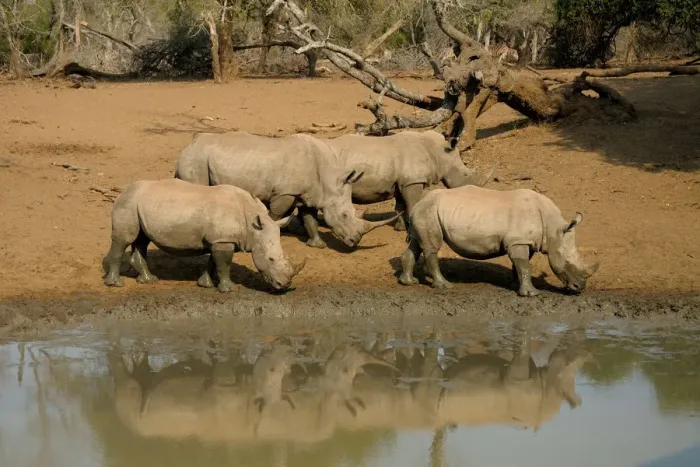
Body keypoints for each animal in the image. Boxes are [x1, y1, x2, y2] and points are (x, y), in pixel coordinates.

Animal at [102, 178, 306, 293]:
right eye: (271, 259)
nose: (285, 286)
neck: (252, 226)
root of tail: (123, 190)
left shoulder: (218, 240)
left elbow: (213, 262)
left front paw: (205, 284)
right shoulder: (223, 240)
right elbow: (224, 264)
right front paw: (228, 289)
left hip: (139, 205)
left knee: (141, 240)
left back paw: (148, 280)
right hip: (127, 203)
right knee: (124, 240)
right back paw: (116, 284)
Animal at [174, 131, 398, 249]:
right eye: (344, 215)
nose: (354, 242)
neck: (328, 179)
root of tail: (187, 147)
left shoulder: (309, 193)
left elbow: (309, 218)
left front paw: (317, 245)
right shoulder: (285, 192)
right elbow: (276, 214)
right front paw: (271, 234)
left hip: (199, 157)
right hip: (196, 159)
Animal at [321, 129, 494, 232]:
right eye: (465, 175)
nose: (475, 193)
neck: (438, 153)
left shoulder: (402, 182)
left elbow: (400, 205)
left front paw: (400, 228)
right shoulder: (414, 181)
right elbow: (412, 204)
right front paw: (411, 230)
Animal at [398, 185, 600, 296]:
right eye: (567, 261)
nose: (580, 287)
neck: (553, 229)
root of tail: (418, 203)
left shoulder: (523, 241)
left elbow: (520, 264)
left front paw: (515, 285)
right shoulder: (518, 241)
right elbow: (523, 264)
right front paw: (532, 294)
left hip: (425, 212)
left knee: (416, 244)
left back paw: (408, 282)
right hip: (429, 211)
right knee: (431, 247)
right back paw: (445, 286)